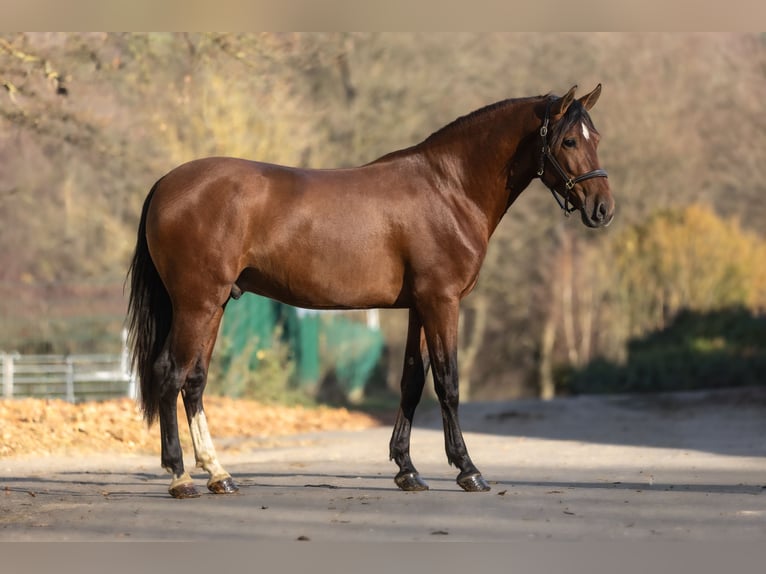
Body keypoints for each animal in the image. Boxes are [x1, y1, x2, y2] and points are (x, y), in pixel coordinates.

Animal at [127, 84, 614, 498]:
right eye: (569, 142)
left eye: (597, 137)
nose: (603, 209)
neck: (449, 189)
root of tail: (167, 183)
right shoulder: (442, 301)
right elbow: (449, 382)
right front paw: (467, 470)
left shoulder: (420, 306)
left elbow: (412, 382)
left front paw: (407, 470)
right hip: (197, 303)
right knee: (170, 373)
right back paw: (180, 477)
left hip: (213, 306)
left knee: (194, 380)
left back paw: (218, 474)